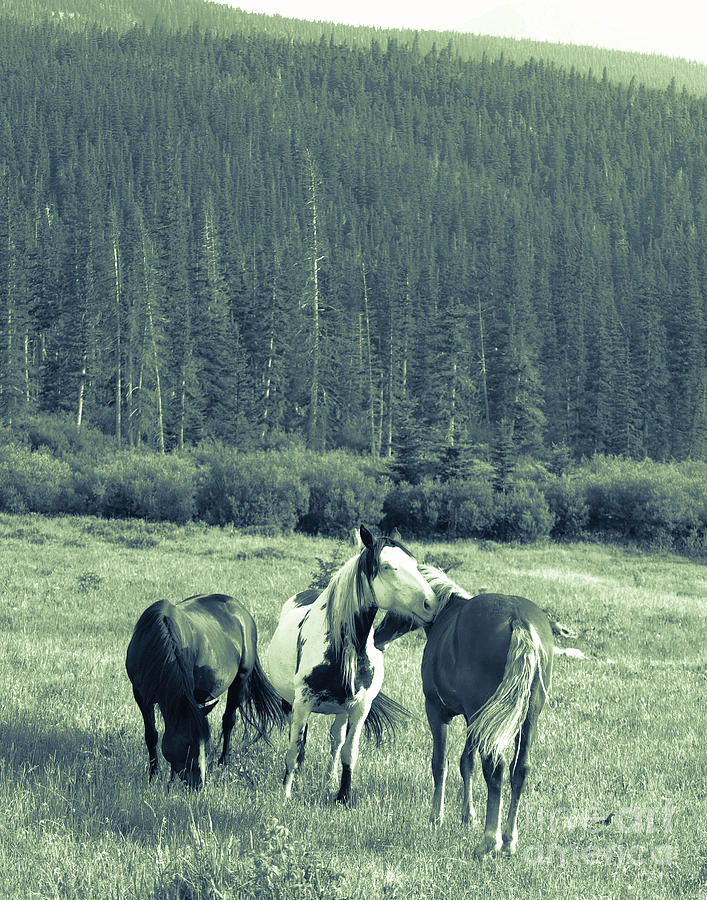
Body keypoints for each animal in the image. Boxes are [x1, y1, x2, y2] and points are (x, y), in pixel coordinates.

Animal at [126, 593, 285, 789]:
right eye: (188, 744)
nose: (199, 784)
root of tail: (242, 611)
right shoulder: (141, 696)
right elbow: (152, 735)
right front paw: (154, 775)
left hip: (240, 680)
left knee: (229, 720)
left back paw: (224, 761)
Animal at [263, 524, 437, 805]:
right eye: (387, 566)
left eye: (414, 563)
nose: (431, 603)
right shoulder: (302, 702)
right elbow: (295, 747)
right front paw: (286, 792)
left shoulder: (359, 707)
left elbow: (348, 751)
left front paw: (343, 796)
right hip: (293, 703)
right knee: (301, 739)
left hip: (341, 711)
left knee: (335, 740)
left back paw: (330, 779)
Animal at [374, 565, 554, 856]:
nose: (378, 636)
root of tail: (519, 622)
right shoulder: (474, 720)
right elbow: (465, 763)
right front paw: (468, 815)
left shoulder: (436, 712)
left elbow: (440, 763)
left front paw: (436, 817)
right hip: (528, 720)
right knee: (520, 770)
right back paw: (509, 840)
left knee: (495, 769)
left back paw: (490, 841)